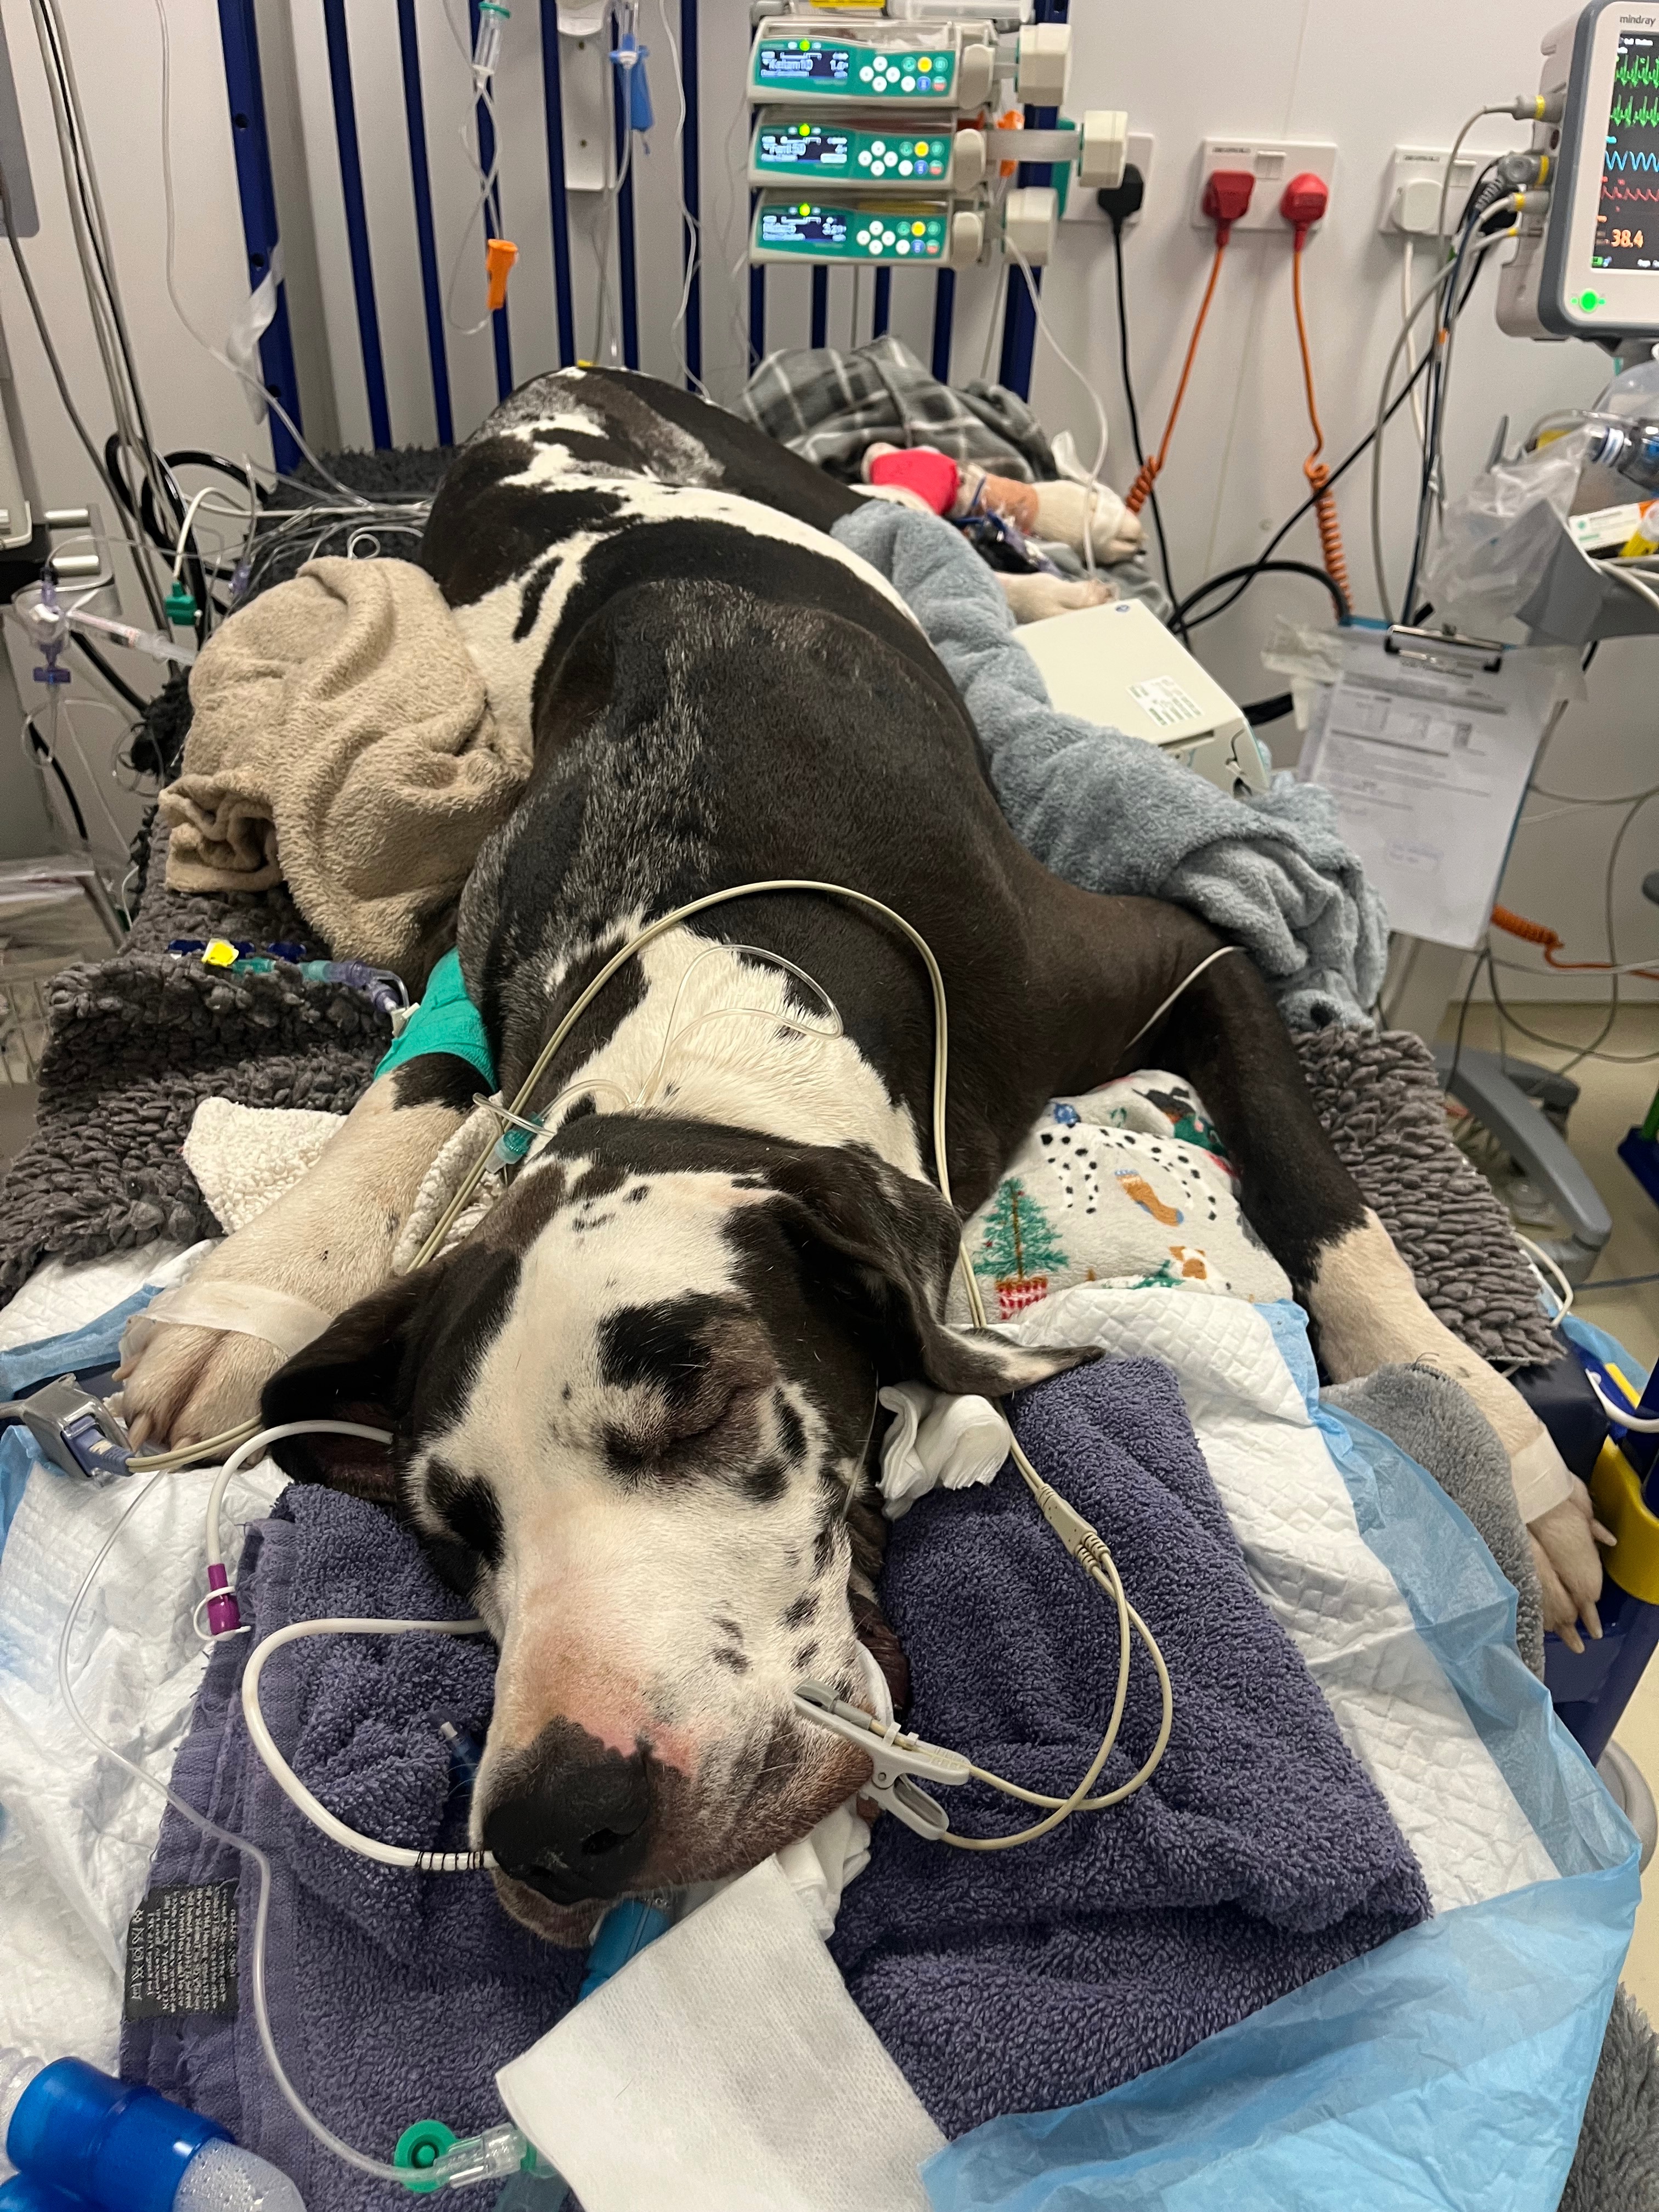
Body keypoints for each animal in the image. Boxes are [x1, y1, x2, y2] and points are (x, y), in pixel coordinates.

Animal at [118, 369, 1605, 1943]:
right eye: (454, 1527)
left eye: (702, 1412)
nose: (549, 1824)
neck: (724, 978)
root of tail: (560, 385)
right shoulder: (487, 955)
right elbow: (418, 1080)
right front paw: (267, 1283)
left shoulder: (1183, 961)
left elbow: (1328, 1203)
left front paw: (1494, 1433)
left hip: (791, 489)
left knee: (913, 503)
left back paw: (1068, 551)